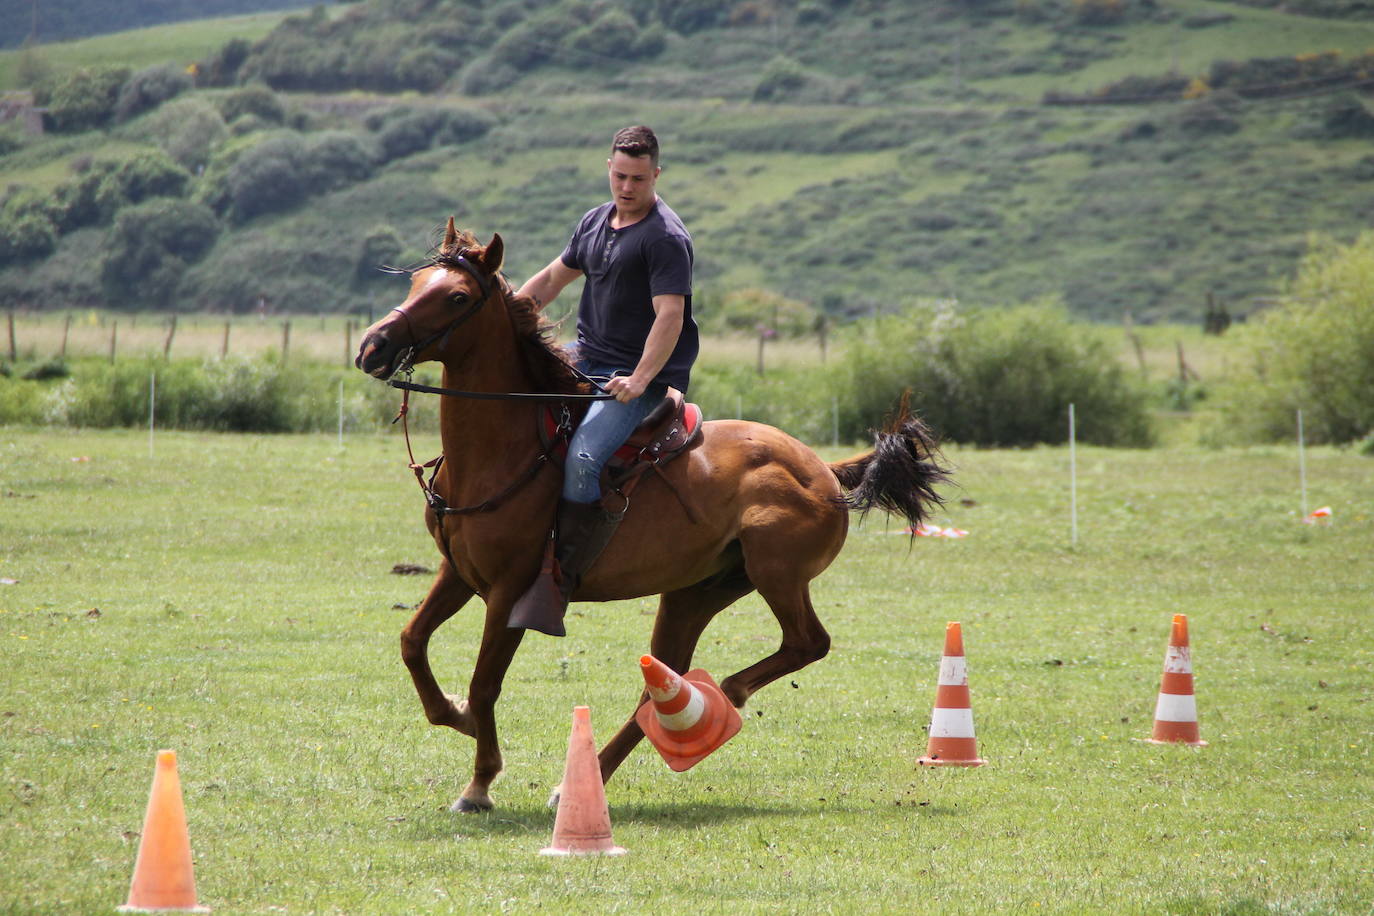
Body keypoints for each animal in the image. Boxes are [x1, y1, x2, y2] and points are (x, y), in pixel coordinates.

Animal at [359, 225, 950, 813]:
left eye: (457, 297)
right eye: (415, 284)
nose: (373, 347)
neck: (504, 450)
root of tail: (824, 470)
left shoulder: (509, 590)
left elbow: (485, 684)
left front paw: (479, 784)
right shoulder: (458, 572)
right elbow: (412, 642)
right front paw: (452, 714)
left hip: (776, 573)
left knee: (808, 643)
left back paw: (729, 691)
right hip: (695, 593)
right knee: (662, 682)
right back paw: (589, 775)